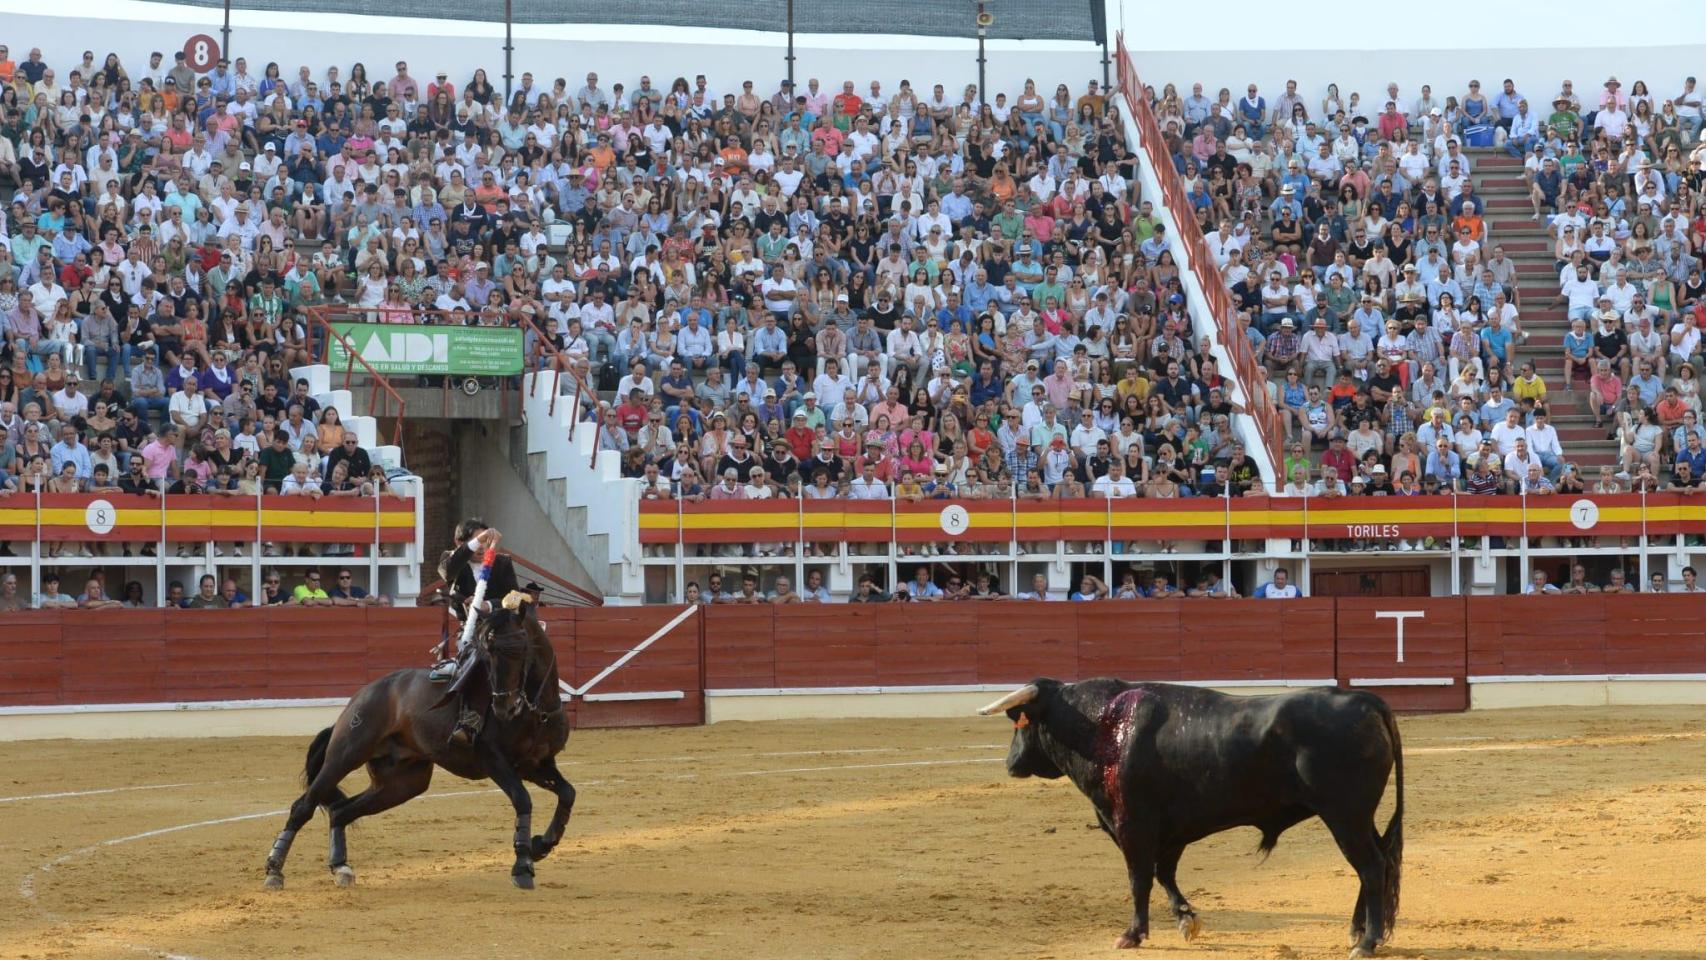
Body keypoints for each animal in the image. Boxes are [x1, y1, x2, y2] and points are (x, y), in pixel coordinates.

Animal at [255, 600, 569, 893]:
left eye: (521, 649)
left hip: (402, 782)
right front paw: (523, 866)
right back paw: (274, 871)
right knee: (303, 807)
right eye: (487, 654)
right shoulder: (494, 761)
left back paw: (341, 867)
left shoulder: (536, 765)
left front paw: (541, 845)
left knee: (341, 811)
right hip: (345, 755)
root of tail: (364, 694)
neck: (536, 712)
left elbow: (567, 794)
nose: (504, 708)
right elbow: (523, 799)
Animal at [989, 678, 1398, 954]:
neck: (1103, 726)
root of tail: (1363, 699)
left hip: (1345, 816)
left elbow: (1140, 879)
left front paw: (1133, 934)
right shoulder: (1172, 831)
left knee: (1371, 866)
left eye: (1020, 724)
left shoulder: (1132, 827)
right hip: (1359, 818)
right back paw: (1357, 931)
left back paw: (1367, 941)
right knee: (1377, 862)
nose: (1010, 764)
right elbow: (1164, 874)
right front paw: (1187, 919)